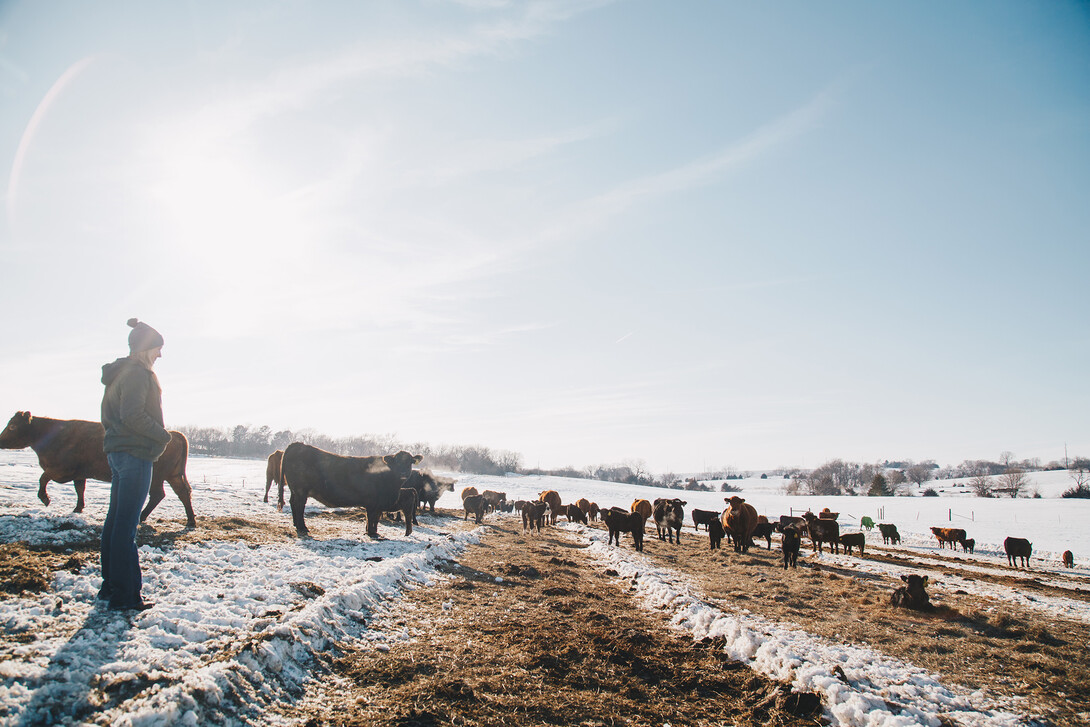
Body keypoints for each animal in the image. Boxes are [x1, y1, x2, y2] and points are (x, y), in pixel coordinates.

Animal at [0, 412, 194, 525]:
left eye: (12, 426)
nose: (0, 440)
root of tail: (174, 434)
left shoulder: (61, 469)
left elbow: (43, 478)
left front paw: (45, 499)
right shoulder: (79, 473)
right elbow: (79, 489)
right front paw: (78, 508)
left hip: (157, 478)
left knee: (158, 495)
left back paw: (142, 516)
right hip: (173, 476)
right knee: (182, 493)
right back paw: (190, 521)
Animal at [276, 440, 420, 538]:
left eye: (410, 462)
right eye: (397, 461)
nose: (403, 472)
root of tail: (297, 445)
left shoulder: (377, 504)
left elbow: (374, 519)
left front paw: (372, 531)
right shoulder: (373, 502)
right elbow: (372, 518)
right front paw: (372, 533)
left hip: (296, 491)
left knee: (293, 504)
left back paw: (296, 524)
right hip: (301, 491)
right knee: (299, 506)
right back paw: (302, 527)